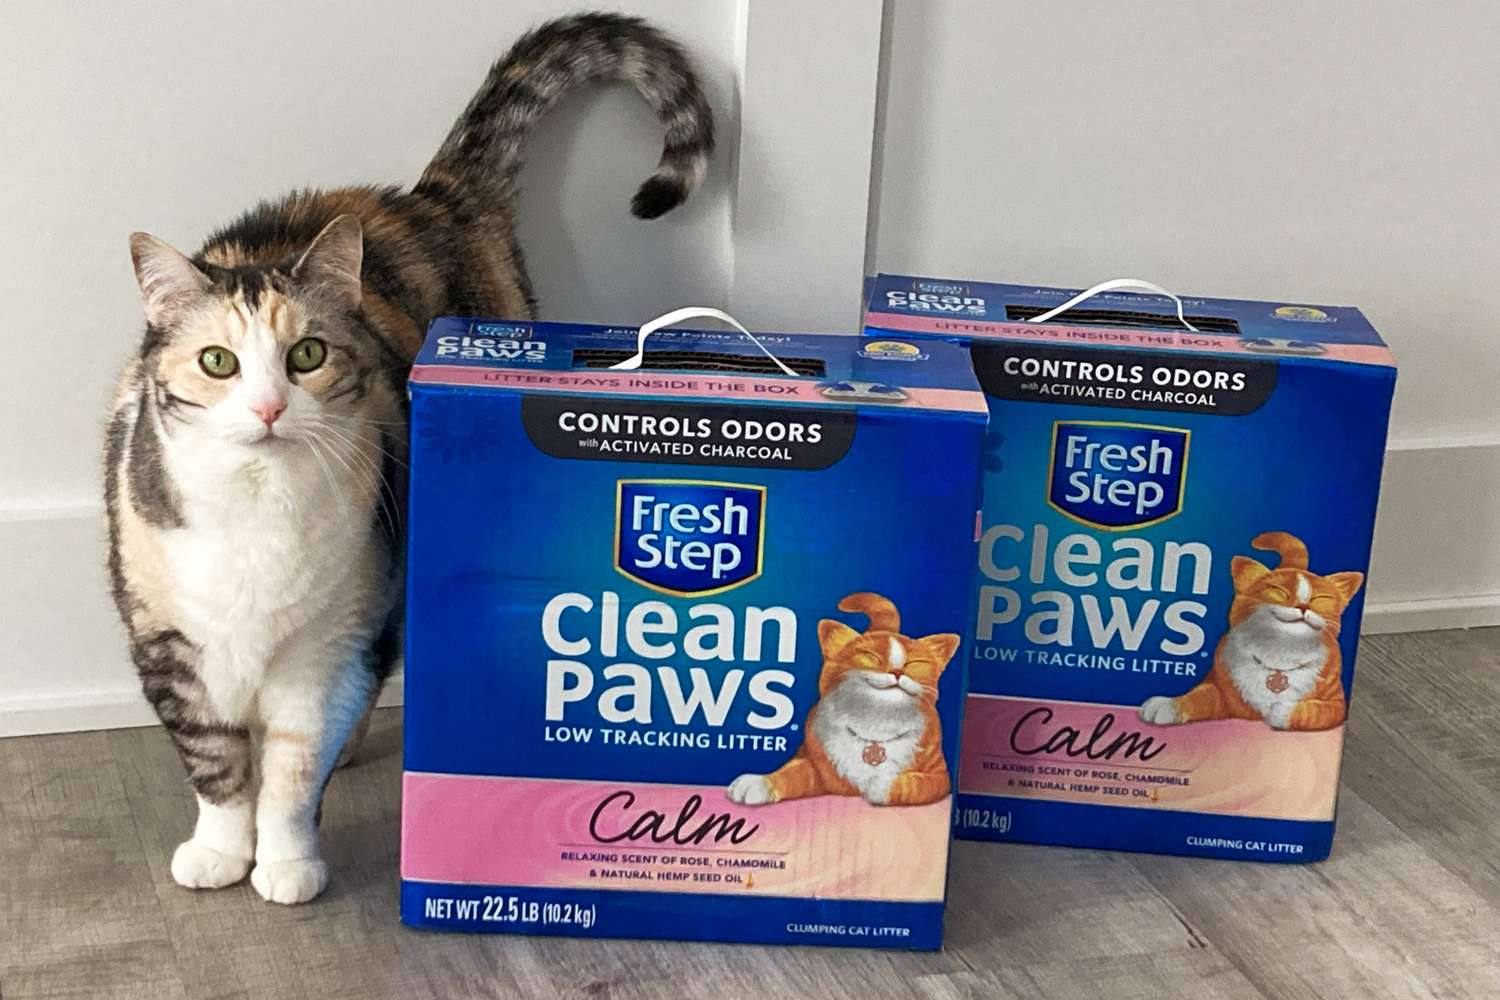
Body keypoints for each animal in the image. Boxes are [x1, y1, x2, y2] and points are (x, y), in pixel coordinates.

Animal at [105, 11, 714, 905]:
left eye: (309, 355)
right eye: (218, 362)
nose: (268, 408)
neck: (257, 508)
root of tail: (432, 193)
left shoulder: (328, 644)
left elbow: (292, 770)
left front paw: (287, 862)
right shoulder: (169, 637)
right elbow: (214, 760)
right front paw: (218, 851)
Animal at [729, 593, 960, 803]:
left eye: (915, 663)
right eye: (870, 656)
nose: (897, 671)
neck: (875, 729)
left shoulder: (941, 778)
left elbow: (913, 784)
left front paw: (878, 785)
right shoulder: (817, 766)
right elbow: (791, 774)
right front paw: (759, 782)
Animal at [1140, 530, 1368, 734]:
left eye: (1321, 599)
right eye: (1279, 591)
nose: (1303, 606)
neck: (1279, 657)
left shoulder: (1338, 706)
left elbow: (1315, 711)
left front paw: (1280, 712)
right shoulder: (1222, 691)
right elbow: (1198, 697)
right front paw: (1167, 704)